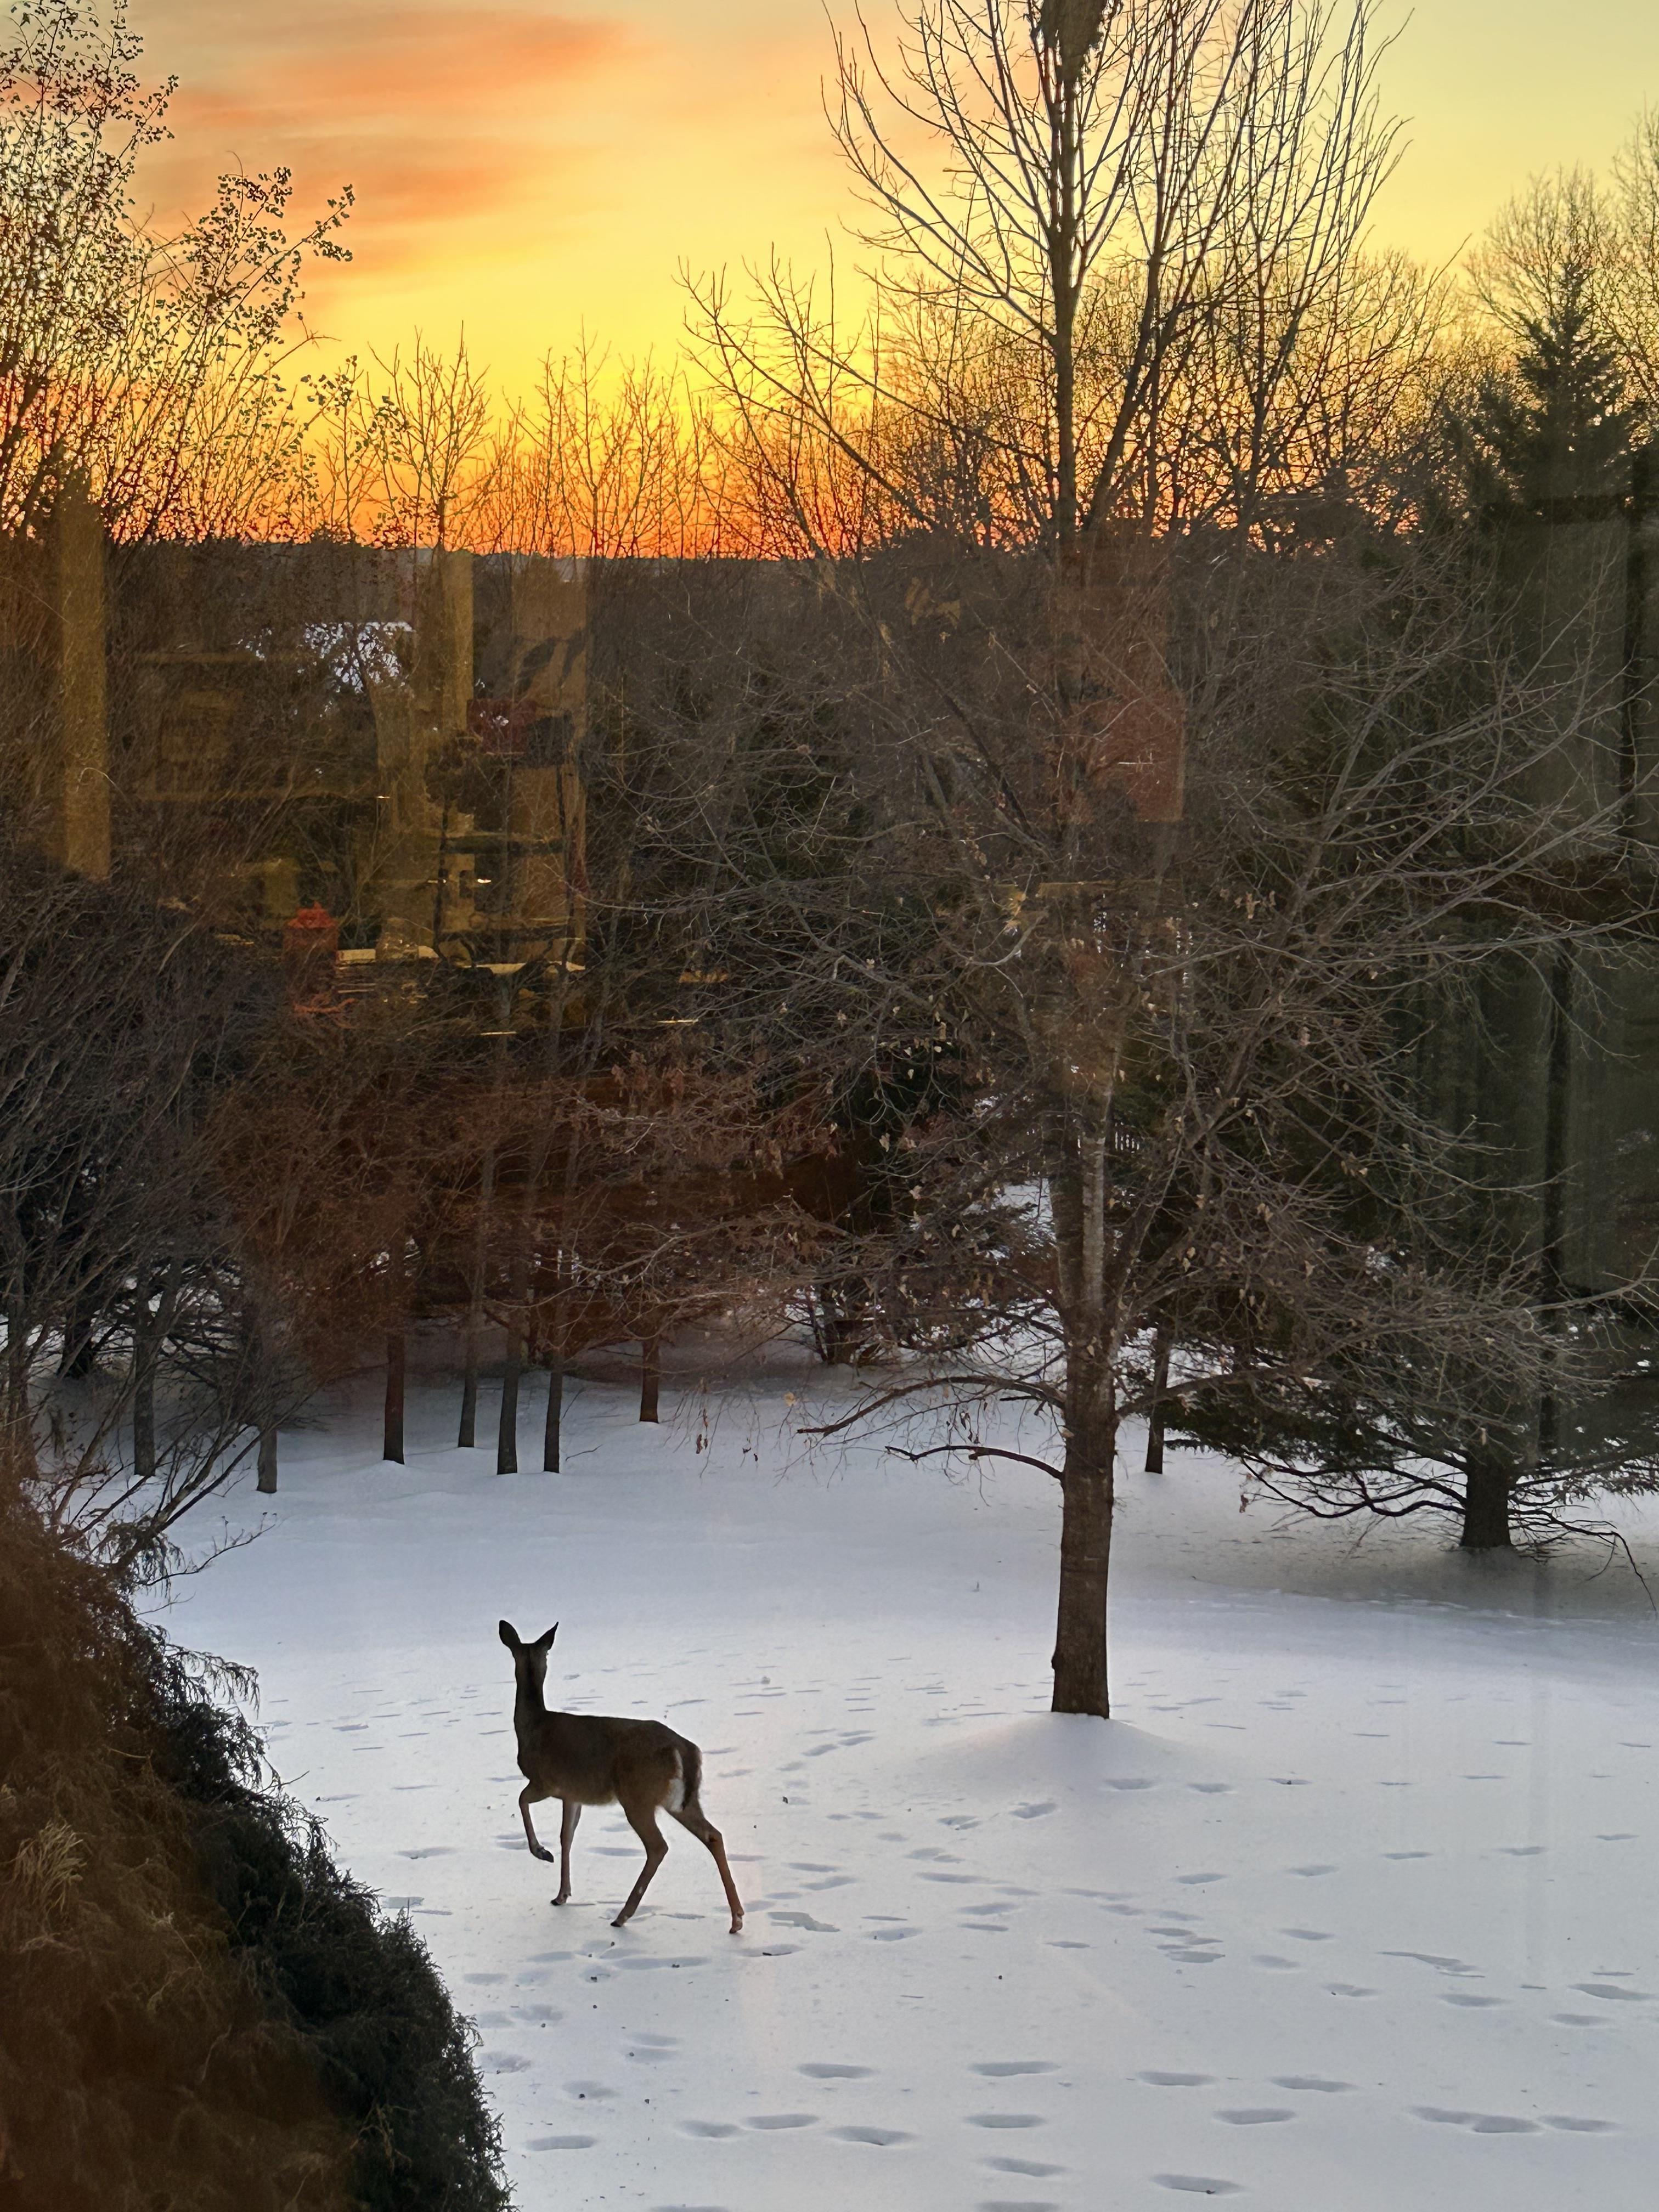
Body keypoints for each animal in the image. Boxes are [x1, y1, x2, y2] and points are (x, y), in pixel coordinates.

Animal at [497, 1620, 744, 1935]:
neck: (533, 1726)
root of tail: (685, 1749)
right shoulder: (572, 1794)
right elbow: (567, 1836)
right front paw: (562, 1895)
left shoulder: (546, 1781)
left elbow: (521, 1800)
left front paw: (542, 1852)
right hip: (681, 1801)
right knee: (714, 1836)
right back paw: (737, 1919)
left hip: (637, 1796)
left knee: (659, 1846)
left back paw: (622, 1915)